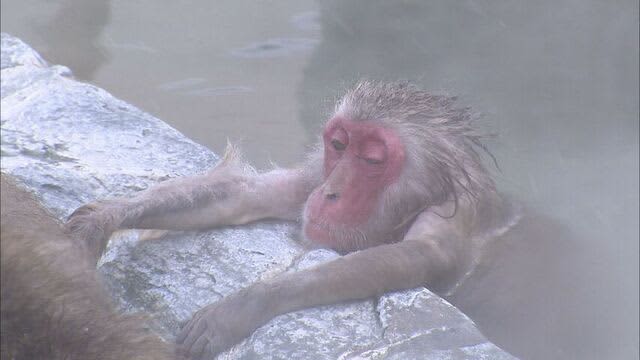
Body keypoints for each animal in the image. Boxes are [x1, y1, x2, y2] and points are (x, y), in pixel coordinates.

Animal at [66, 82, 516, 360]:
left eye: (372, 160)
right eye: (339, 146)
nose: (331, 192)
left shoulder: (453, 216)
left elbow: (420, 256)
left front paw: (247, 304)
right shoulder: (314, 177)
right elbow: (246, 195)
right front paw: (103, 217)